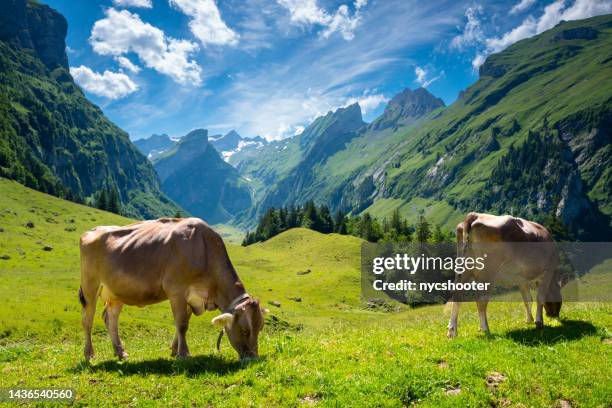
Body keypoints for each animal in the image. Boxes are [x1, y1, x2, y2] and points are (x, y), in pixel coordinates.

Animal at [78, 218, 266, 362]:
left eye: (260, 327)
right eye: (245, 330)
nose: (253, 358)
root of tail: (93, 230)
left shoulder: (191, 298)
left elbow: (182, 323)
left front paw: (175, 350)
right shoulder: (176, 290)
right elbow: (181, 324)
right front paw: (184, 354)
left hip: (115, 292)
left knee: (110, 318)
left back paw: (120, 352)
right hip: (90, 285)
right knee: (87, 319)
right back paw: (89, 355)